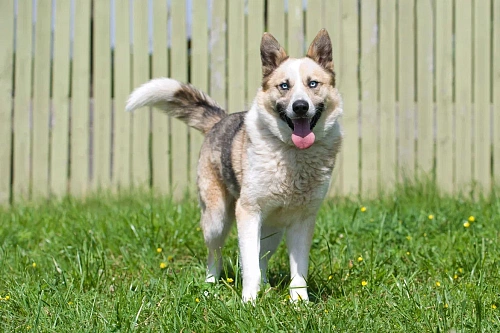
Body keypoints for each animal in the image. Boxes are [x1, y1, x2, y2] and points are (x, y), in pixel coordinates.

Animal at [126, 29, 344, 300]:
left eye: (313, 83)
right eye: (284, 86)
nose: (300, 107)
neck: (292, 155)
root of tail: (219, 120)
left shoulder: (303, 220)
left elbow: (297, 272)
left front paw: (299, 303)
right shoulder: (247, 213)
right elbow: (249, 266)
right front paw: (249, 301)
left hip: (273, 230)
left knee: (262, 257)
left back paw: (267, 288)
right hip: (217, 220)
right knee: (216, 255)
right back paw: (210, 286)